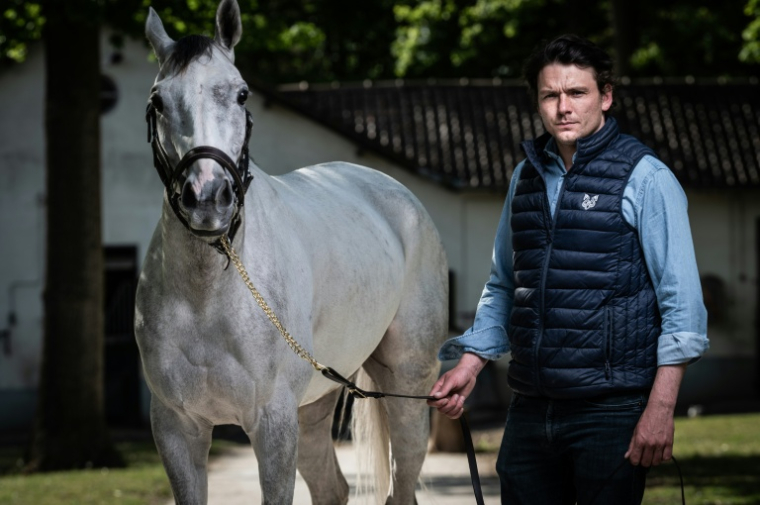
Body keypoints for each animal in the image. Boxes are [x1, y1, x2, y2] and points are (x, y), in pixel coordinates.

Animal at [134, 1, 449, 503]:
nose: (208, 197)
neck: (208, 294)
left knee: (402, 483)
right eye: (158, 100)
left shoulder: (273, 424)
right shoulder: (176, 429)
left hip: (408, 384)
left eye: (242, 94)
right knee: (333, 488)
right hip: (316, 403)